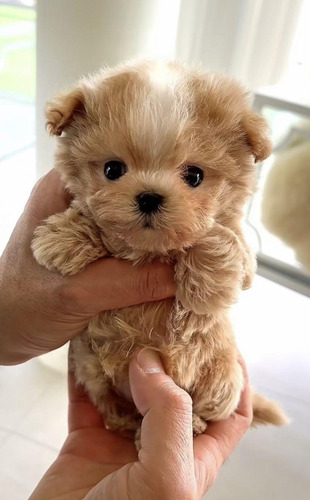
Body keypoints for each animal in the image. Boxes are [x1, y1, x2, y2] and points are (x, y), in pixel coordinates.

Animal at [32, 61, 286, 442]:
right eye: (112, 169)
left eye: (194, 176)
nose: (149, 197)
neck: (152, 250)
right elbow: (92, 220)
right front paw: (63, 238)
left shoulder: (244, 257)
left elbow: (221, 238)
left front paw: (205, 287)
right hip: (91, 366)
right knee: (110, 401)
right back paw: (129, 423)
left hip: (221, 378)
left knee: (207, 406)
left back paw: (191, 425)